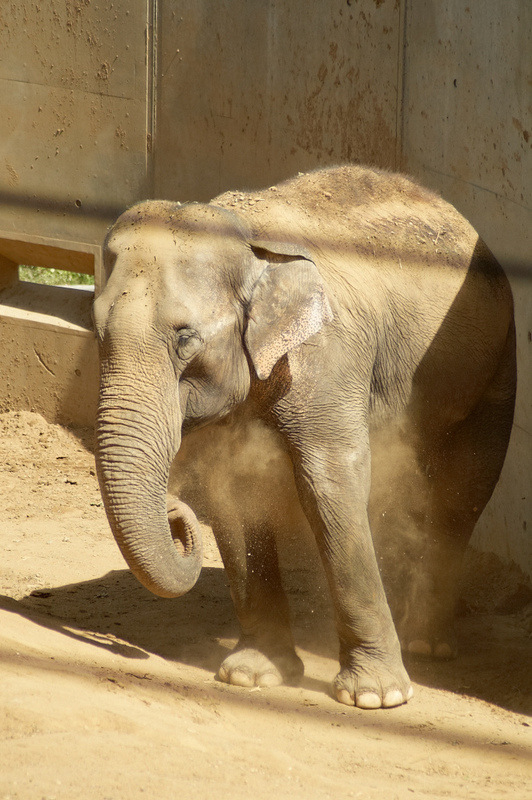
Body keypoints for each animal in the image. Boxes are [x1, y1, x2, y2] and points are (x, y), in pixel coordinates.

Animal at [92, 166, 516, 708]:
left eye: (185, 338)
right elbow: (234, 491)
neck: (248, 238)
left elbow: (330, 482)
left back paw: (426, 645)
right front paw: (251, 675)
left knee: (463, 490)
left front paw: (377, 698)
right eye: (96, 330)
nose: (173, 512)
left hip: (498, 360)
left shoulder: (327, 356)